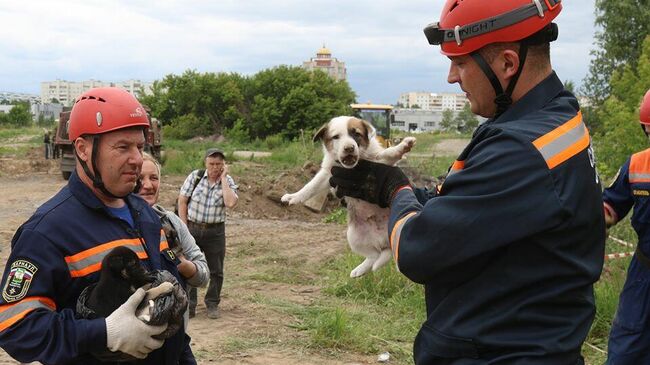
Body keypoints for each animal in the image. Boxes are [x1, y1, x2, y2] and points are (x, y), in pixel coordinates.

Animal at [280, 116, 412, 276]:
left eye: (356, 134)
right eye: (336, 137)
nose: (349, 148)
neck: (351, 167)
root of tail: (385, 241)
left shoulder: (376, 162)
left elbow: (385, 154)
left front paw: (401, 148)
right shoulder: (328, 174)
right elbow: (310, 187)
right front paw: (293, 197)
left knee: (381, 254)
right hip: (353, 237)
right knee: (374, 255)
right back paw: (359, 270)